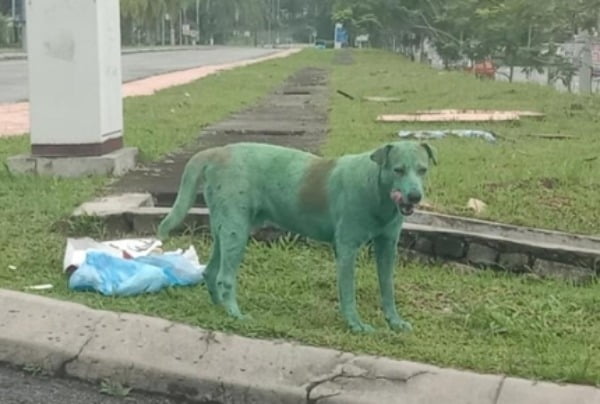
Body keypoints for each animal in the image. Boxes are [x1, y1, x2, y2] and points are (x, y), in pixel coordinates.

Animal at [156, 140, 436, 332]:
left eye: (422, 170)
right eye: (398, 170)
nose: (415, 197)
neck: (377, 189)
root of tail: (217, 152)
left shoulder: (388, 247)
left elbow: (387, 287)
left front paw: (395, 321)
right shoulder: (346, 249)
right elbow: (348, 292)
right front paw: (356, 325)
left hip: (225, 229)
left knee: (211, 271)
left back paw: (220, 308)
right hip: (236, 230)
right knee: (225, 277)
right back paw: (236, 314)